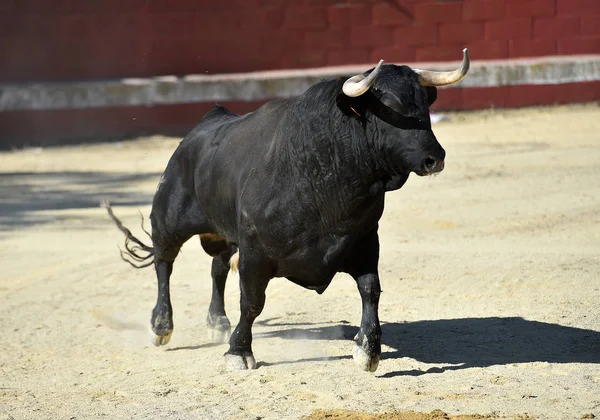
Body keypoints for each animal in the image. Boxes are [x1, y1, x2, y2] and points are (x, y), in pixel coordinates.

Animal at [104, 51, 468, 370]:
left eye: (424, 103)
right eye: (391, 107)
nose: (435, 158)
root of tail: (202, 126)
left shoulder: (364, 241)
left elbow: (370, 290)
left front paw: (367, 350)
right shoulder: (254, 253)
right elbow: (252, 302)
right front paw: (239, 352)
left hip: (224, 232)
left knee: (217, 267)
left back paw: (217, 322)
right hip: (168, 221)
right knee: (164, 264)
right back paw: (161, 326)